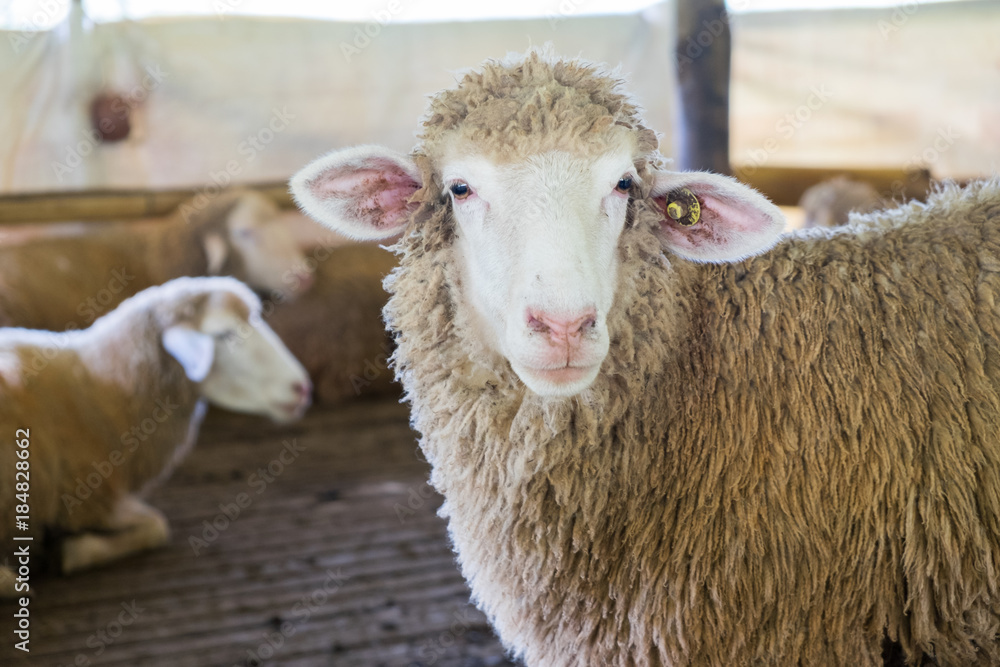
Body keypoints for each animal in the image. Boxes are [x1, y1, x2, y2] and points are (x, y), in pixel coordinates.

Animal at [0, 276, 310, 595]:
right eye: (223, 334)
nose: (303, 388)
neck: (102, 385)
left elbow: (156, 526)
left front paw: (71, 550)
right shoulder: (87, 498)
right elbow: (158, 526)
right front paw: (75, 551)